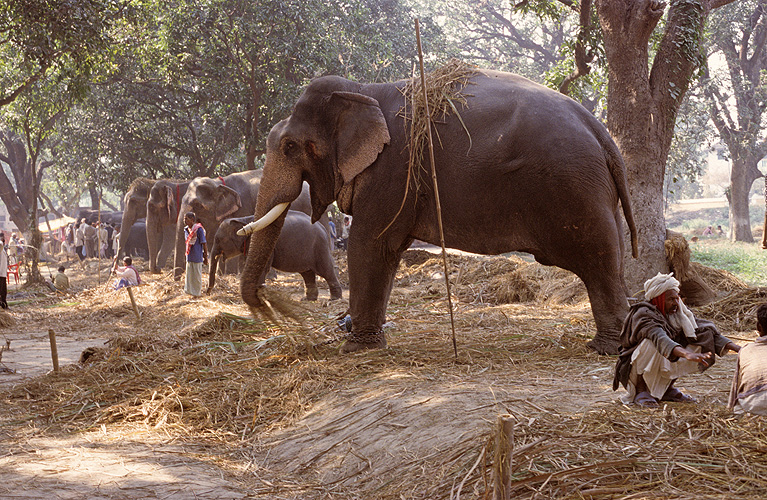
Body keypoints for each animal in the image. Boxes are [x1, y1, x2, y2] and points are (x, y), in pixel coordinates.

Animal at [208, 211, 344, 300]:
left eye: (218, 239)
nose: (208, 292)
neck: (243, 220)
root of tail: (323, 228)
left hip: (319, 247)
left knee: (325, 270)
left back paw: (334, 299)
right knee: (307, 273)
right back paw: (307, 299)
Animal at [240, 66, 640, 356]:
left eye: (289, 146)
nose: (265, 307)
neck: (363, 89)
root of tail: (600, 130)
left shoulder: (392, 170)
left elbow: (370, 245)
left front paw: (353, 348)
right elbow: (388, 252)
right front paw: (365, 341)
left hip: (576, 188)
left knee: (599, 261)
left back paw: (607, 349)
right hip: (596, 193)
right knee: (613, 260)